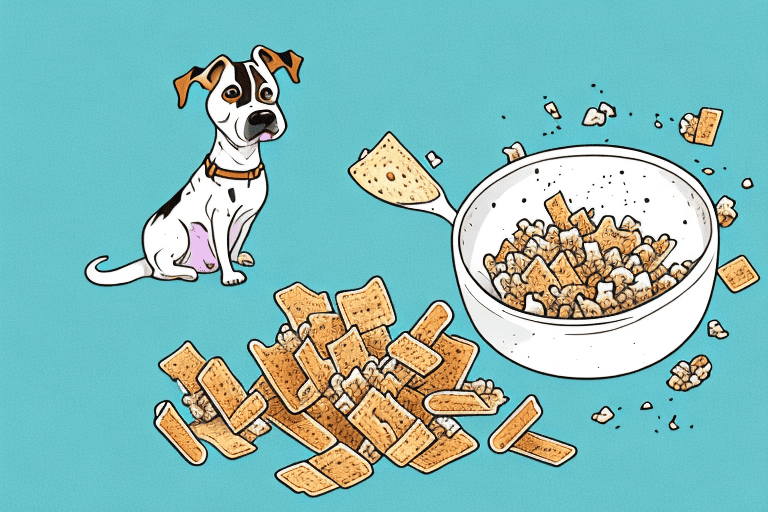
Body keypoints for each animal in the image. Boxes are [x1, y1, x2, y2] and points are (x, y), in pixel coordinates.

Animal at [84, 46, 300, 286]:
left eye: (267, 92)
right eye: (231, 93)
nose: (262, 116)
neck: (242, 165)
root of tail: (147, 261)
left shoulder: (248, 217)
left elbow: (235, 245)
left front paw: (238, 257)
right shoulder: (219, 218)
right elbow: (223, 250)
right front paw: (230, 275)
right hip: (180, 234)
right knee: (162, 270)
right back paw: (186, 272)